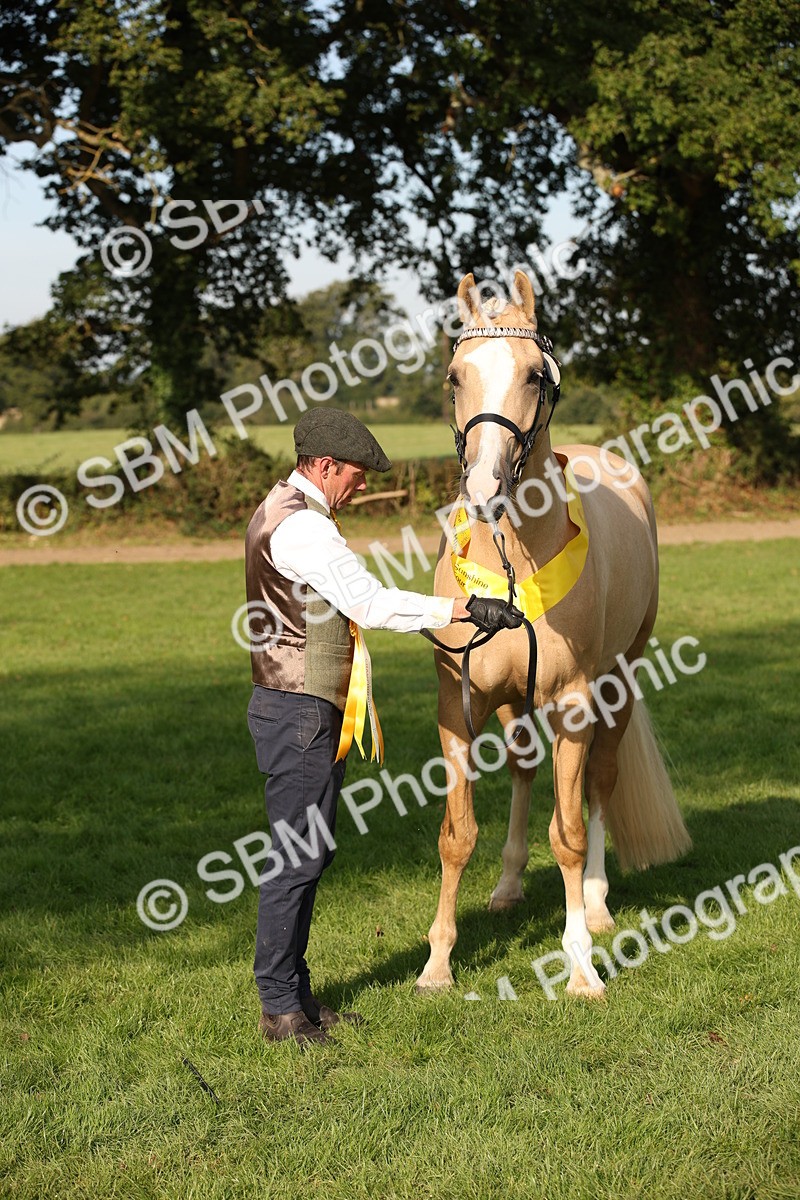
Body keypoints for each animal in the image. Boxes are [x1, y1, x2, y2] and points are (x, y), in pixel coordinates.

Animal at [416, 270, 692, 998]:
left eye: (535, 375)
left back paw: (595, 906)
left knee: (597, 785)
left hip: (617, 684)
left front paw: (581, 968)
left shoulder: (572, 703)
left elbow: (567, 833)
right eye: (455, 376)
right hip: (515, 702)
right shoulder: (459, 704)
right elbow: (457, 834)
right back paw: (509, 886)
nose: (483, 488)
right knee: (523, 770)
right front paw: (437, 963)